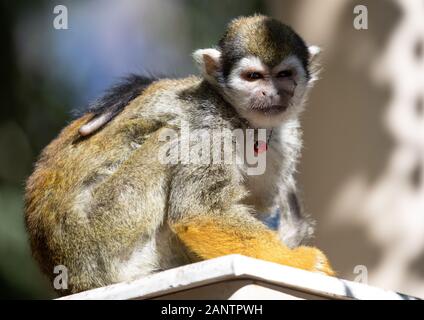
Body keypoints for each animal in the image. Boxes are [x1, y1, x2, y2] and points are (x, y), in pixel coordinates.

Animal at [24, 15, 334, 296]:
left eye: (284, 75)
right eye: (253, 76)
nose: (271, 93)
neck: (241, 119)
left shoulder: (286, 135)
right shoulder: (208, 126)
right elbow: (201, 212)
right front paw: (300, 261)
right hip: (101, 235)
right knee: (169, 137)